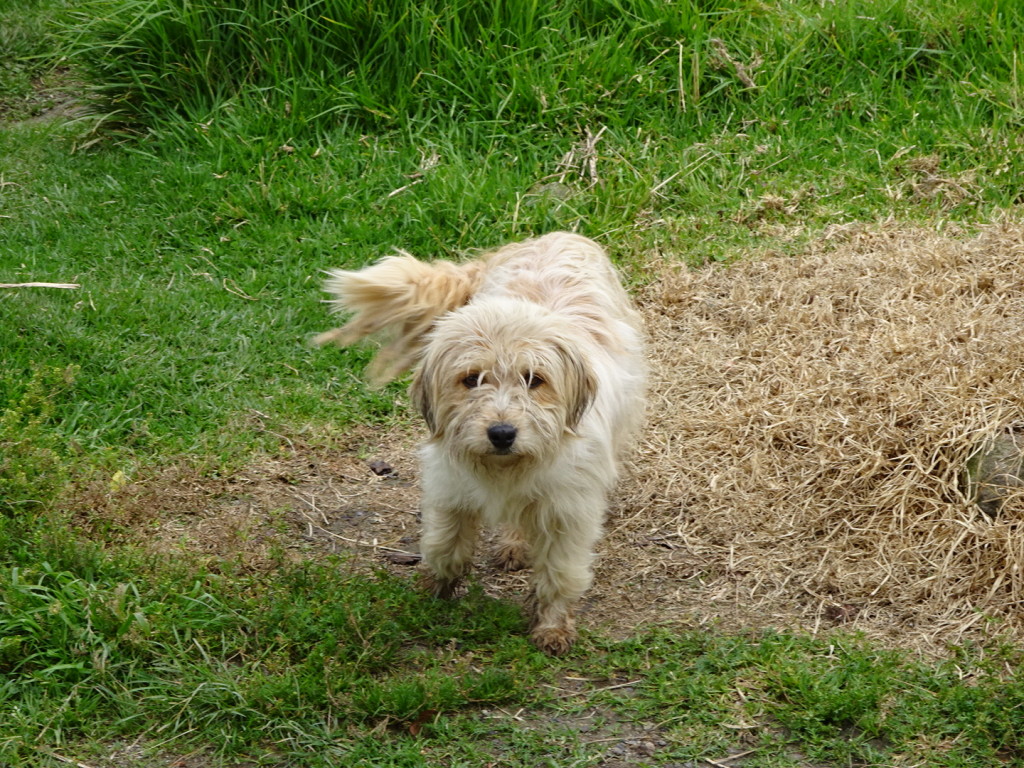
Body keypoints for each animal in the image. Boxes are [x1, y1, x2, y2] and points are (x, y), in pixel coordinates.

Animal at [315, 233, 643, 655]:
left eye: (534, 379)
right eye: (472, 379)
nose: (502, 434)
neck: (508, 467)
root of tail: (556, 235)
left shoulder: (568, 511)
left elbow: (560, 573)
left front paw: (552, 626)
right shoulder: (450, 489)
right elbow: (445, 547)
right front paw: (431, 593)